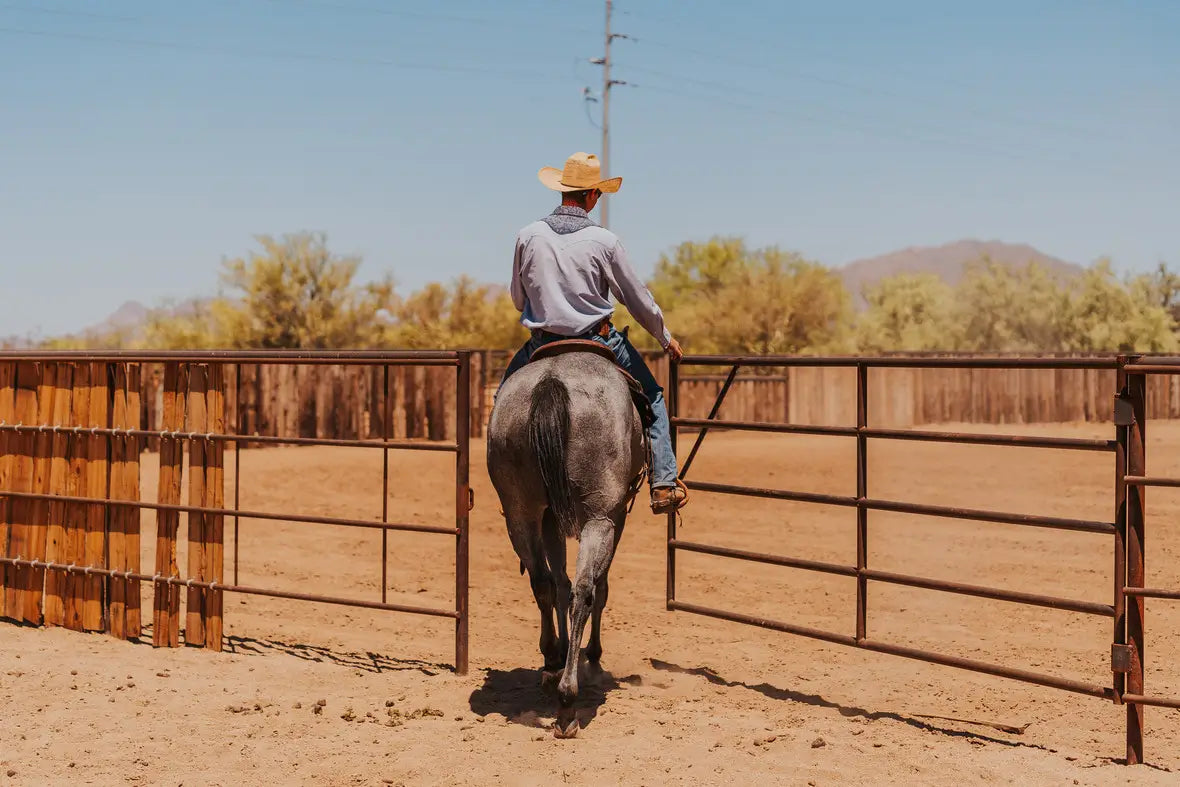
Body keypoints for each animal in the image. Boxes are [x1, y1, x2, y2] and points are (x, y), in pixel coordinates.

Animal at [483, 351, 646, 740]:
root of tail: (550, 381)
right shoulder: (616, 515)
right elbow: (598, 588)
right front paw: (594, 657)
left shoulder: (549, 517)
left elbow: (558, 582)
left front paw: (556, 656)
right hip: (600, 518)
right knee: (585, 591)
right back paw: (568, 702)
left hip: (520, 513)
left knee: (543, 583)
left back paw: (553, 661)